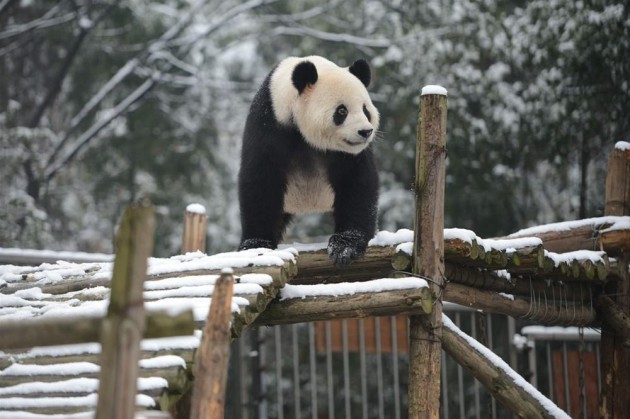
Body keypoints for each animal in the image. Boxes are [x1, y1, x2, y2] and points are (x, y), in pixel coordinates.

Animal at [239, 55, 380, 266]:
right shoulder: (269, 125)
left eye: (365, 109)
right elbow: (260, 180)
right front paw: (256, 245)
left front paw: (345, 246)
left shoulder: (349, 153)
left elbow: (357, 182)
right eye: (342, 111)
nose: (365, 131)